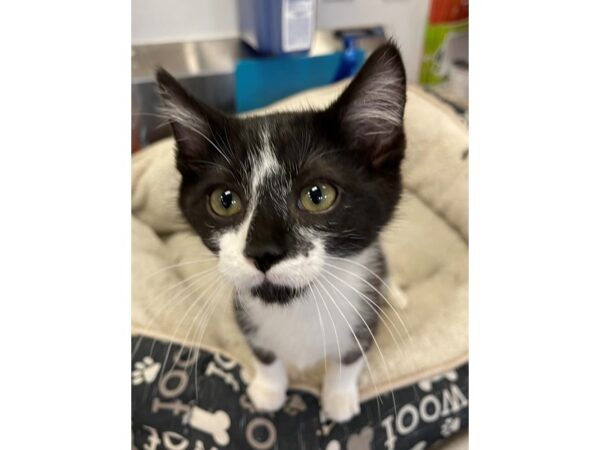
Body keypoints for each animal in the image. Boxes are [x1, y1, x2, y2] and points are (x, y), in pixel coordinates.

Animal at [156, 41, 408, 422]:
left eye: (318, 195)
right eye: (224, 200)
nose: (263, 252)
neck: (298, 308)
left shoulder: (362, 317)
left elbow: (351, 354)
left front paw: (338, 397)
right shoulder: (245, 315)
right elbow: (264, 352)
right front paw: (269, 389)